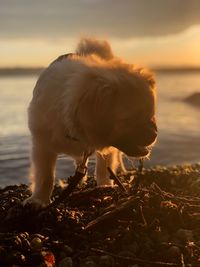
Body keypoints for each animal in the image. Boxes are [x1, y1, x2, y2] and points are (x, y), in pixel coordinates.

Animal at [24, 37, 157, 207]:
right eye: (130, 120)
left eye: (151, 115)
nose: (155, 134)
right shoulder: (43, 146)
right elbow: (45, 177)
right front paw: (39, 200)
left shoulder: (108, 150)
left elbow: (103, 167)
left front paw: (105, 186)